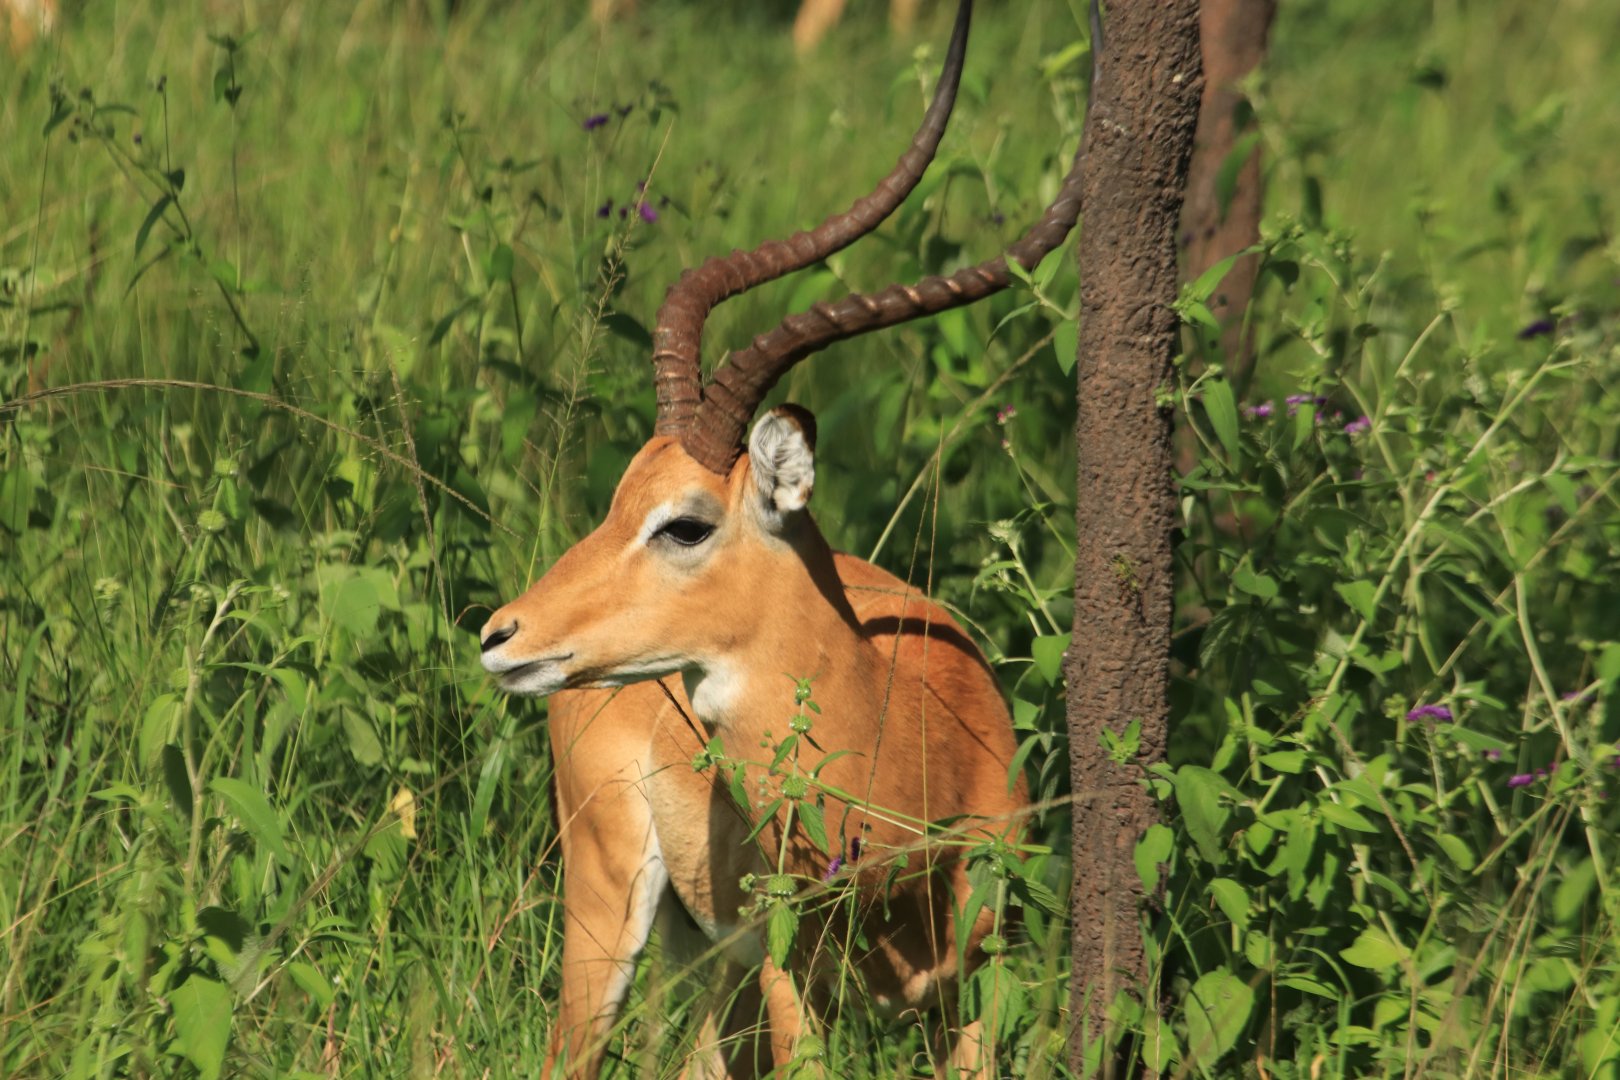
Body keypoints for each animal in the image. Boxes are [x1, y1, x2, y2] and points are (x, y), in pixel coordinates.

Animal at [482, 1, 1086, 1074]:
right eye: (619, 497)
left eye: (684, 522)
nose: (501, 633)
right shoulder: (787, 976)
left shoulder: (983, 983)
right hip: (611, 915)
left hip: (710, 971)